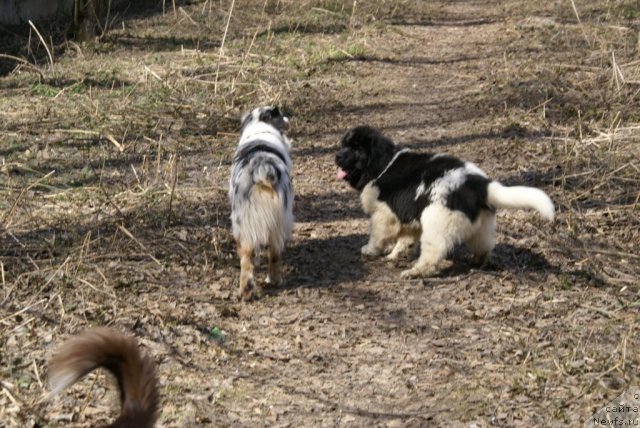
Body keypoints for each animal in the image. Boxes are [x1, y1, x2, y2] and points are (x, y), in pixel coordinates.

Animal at [228, 106, 292, 300]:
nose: (288, 119)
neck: (260, 126)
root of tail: (264, 168)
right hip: (278, 224)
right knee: (272, 256)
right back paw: (268, 283)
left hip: (246, 224)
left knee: (250, 259)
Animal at [336, 125, 556, 280]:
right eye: (344, 145)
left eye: (355, 148)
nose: (337, 156)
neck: (383, 165)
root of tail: (479, 183)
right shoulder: (408, 215)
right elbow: (405, 239)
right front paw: (396, 254)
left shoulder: (384, 213)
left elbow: (378, 234)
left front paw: (370, 250)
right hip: (481, 225)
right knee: (484, 246)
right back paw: (476, 262)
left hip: (437, 221)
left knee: (433, 252)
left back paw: (416, 272)